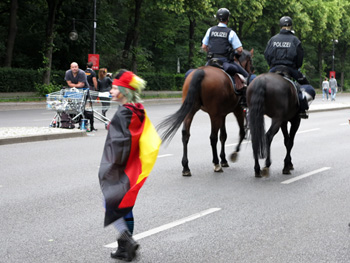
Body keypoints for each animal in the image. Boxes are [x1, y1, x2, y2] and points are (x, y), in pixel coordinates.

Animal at [157, 49, 253, 177]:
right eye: (250, 60)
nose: (252, 70)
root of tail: (201, 71)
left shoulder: (222, 114)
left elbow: (223, 136)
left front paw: (224, 159)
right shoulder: (237, 111)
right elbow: (240, 133)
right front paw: (233, 154)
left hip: (191, 111)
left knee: (185, 134)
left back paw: (186, 167)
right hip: (214, 115)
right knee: (212, 137)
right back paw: (216, 164)